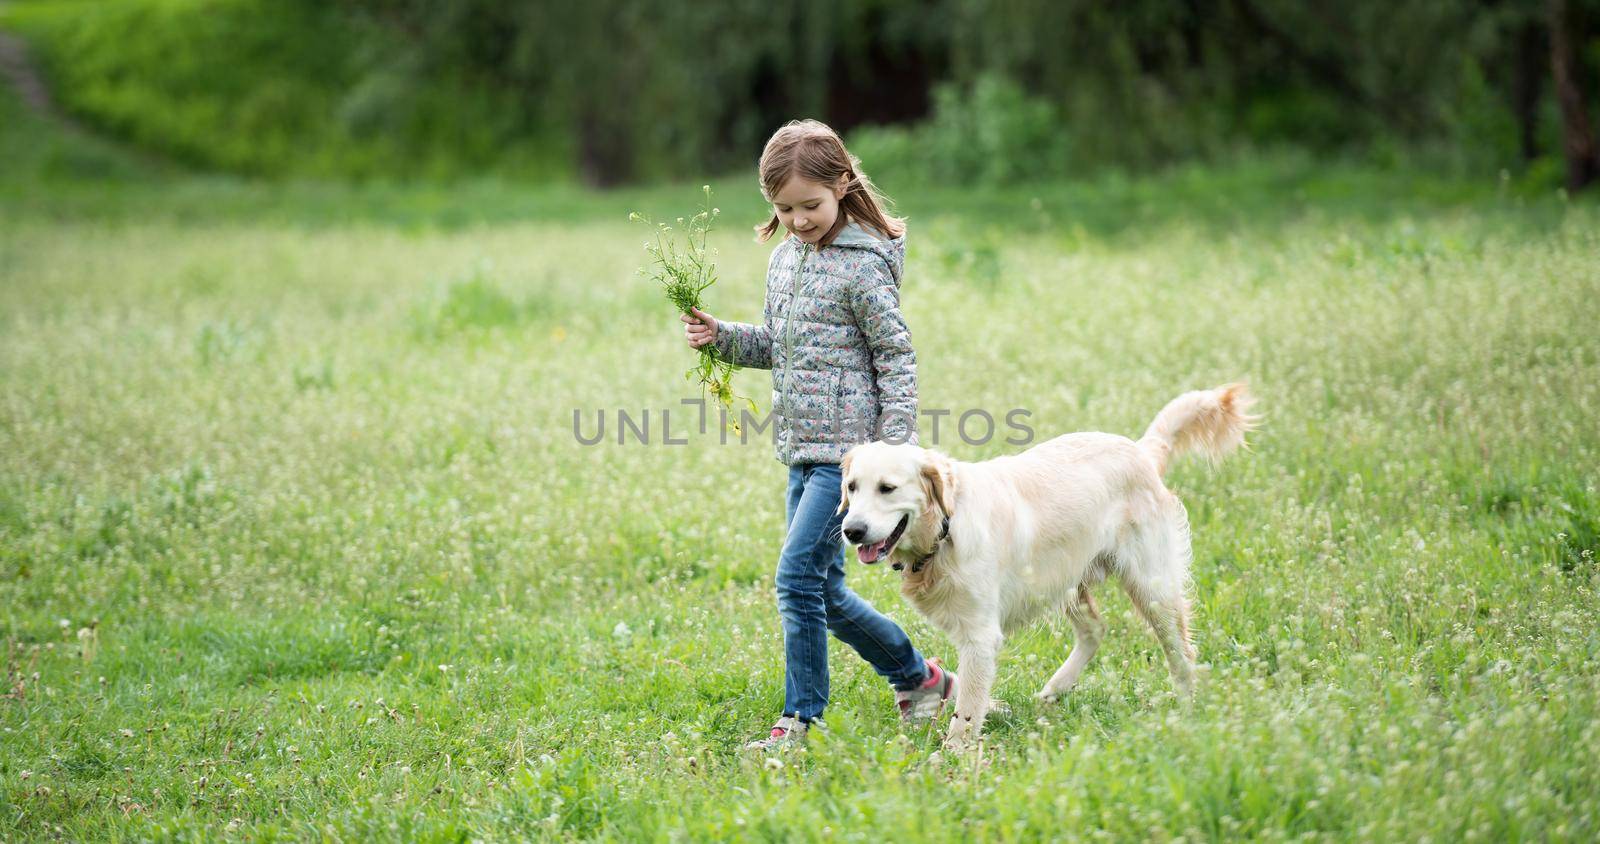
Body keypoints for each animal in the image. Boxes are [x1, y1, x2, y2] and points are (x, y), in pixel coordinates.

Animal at [838, 385, 1260, 748]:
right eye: (852, 487)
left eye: (887, 488)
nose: (851, 531)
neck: (945, 528)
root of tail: (1139, 451)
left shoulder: (980, 637)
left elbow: (967, 711)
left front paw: (952, 759)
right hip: (1064, 578)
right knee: (1095, 629)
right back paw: (1057, 688)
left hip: (1151, 586)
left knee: (1180, 653)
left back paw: (1189, 712)